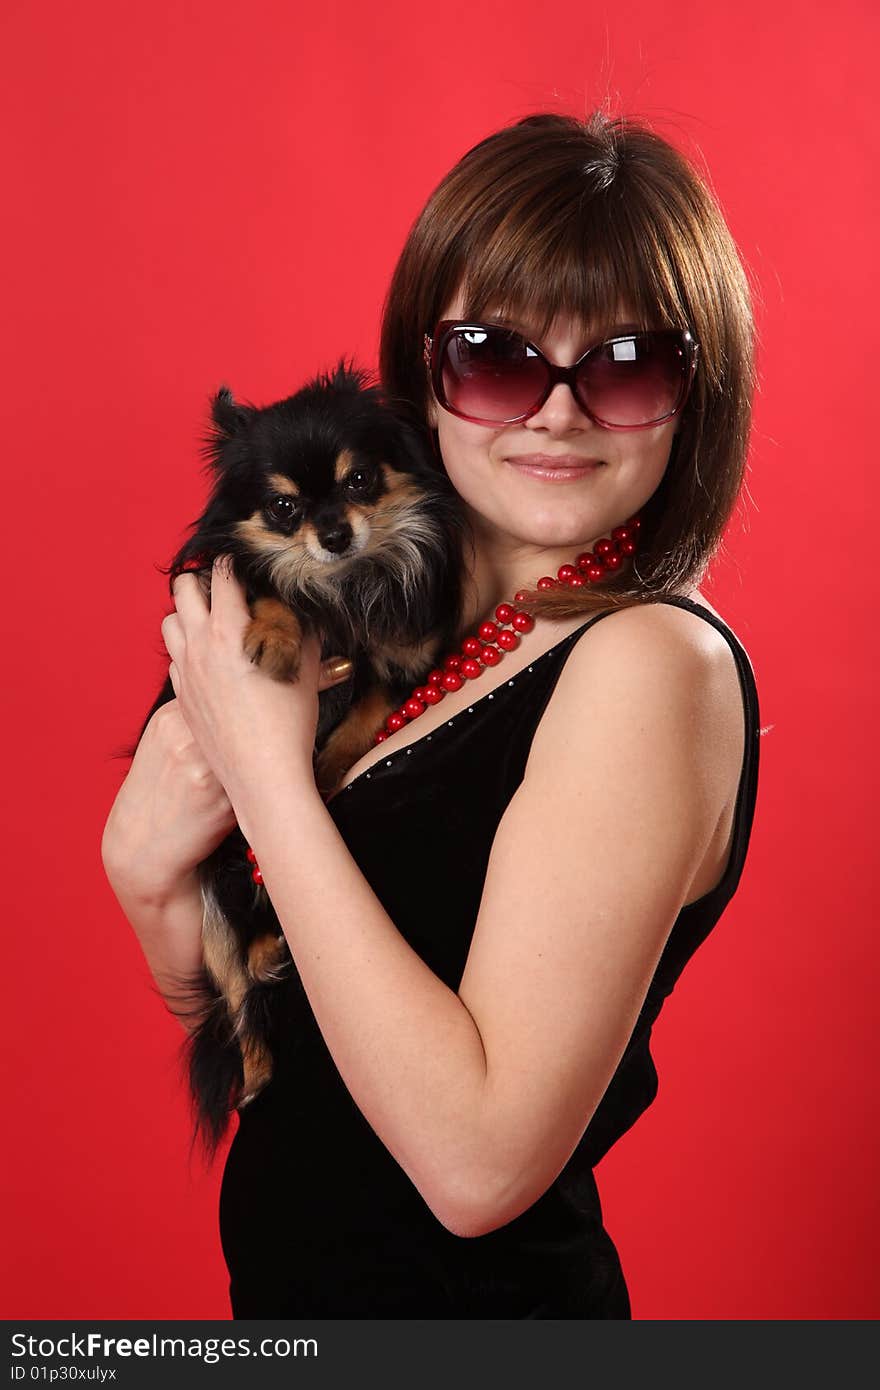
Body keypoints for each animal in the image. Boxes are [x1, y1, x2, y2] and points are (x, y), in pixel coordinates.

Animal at [127, 364, 467, 1156]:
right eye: (284, 508)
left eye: (360, 480)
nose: (335, 535)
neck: (341, 587)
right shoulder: (236, 581)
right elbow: (278, 593)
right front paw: (276, 641)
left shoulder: (396, 665)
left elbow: (365, 713)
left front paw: (325, 768)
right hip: (213, 910)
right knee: (238, 998)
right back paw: (254, 1071)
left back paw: (277, 953)